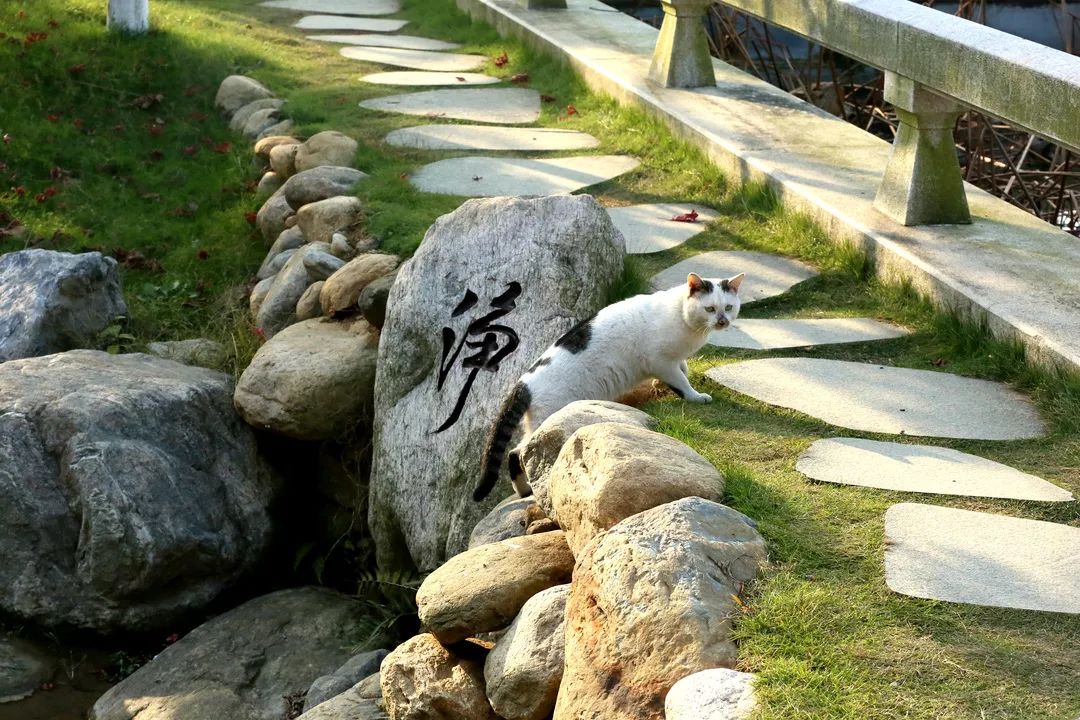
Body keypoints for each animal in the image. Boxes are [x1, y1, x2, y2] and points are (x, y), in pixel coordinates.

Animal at [473, 269, 743, 500]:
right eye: (710, 308)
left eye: (728, 307)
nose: (722, 321)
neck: (683, 318)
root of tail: (523, 383)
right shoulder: (660, 360)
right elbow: (682, 381)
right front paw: (695, 396)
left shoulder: (673, 360)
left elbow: (683, 369)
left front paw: (662, 384)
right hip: (547, 418)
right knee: (515, 453)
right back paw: (524, 489)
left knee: (515, 452)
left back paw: (523, 491)